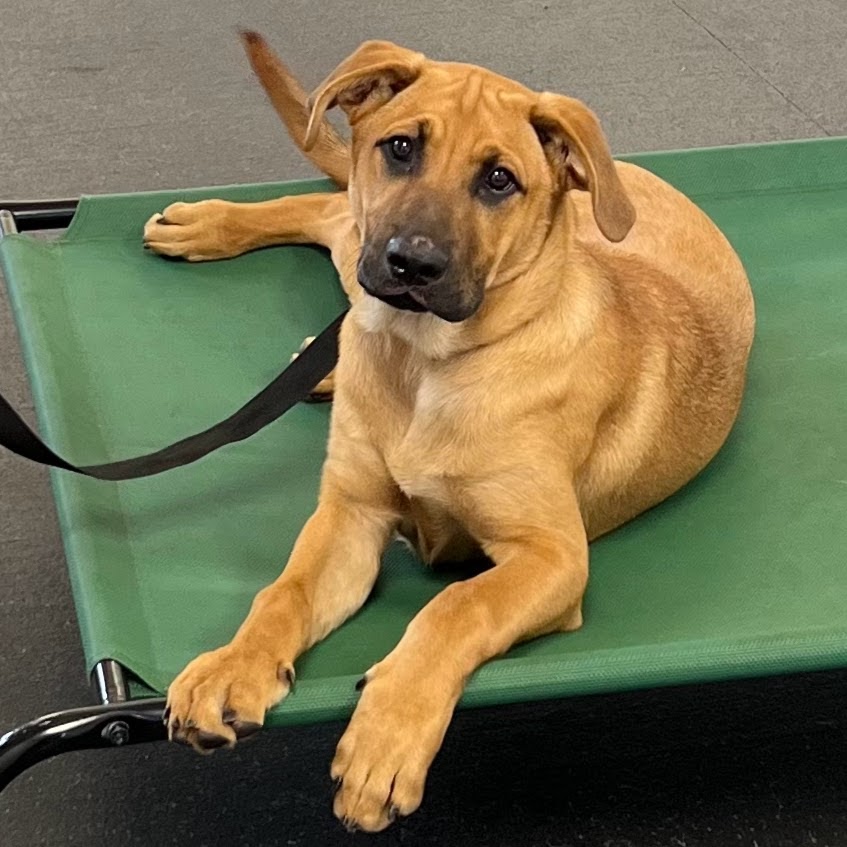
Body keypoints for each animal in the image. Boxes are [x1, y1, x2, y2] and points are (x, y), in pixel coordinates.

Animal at [141, 31, 756, 828]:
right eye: (401, 147)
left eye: (498, 180)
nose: (412, 263)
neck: (422, 361)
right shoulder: (351, 513)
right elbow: (283, 592)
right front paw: (233, 666)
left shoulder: (552, 558)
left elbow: (452, 609)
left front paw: (386, 736)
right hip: (358, 249)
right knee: (332, 211)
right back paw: (212, 229)